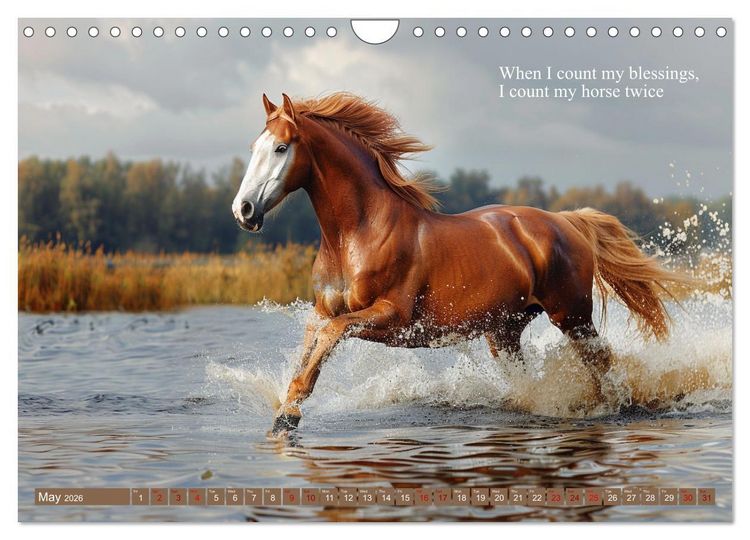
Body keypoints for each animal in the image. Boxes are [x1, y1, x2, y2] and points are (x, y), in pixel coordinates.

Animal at [231, 92, 684, 434]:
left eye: (281, 147)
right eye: (253, 148)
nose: (244, 210)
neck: (354, 236)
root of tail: (567, 220)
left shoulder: (392, 317)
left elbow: (330, 336)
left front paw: (290, 415)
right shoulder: (323, 310)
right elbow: (312, 343)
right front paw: (285, 411)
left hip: (572, 315)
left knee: (603, 362)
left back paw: (614, 406)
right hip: (504, 331)